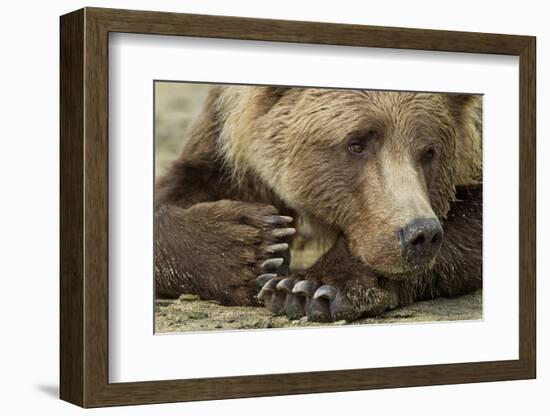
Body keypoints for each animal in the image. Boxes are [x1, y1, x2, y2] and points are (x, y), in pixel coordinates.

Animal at [154, 85, 484, 322]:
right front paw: (253, 245)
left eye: (429, 152)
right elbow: (182, 187)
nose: (420, 234)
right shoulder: (223, 139)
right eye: (356, 144)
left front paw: (310, 288)